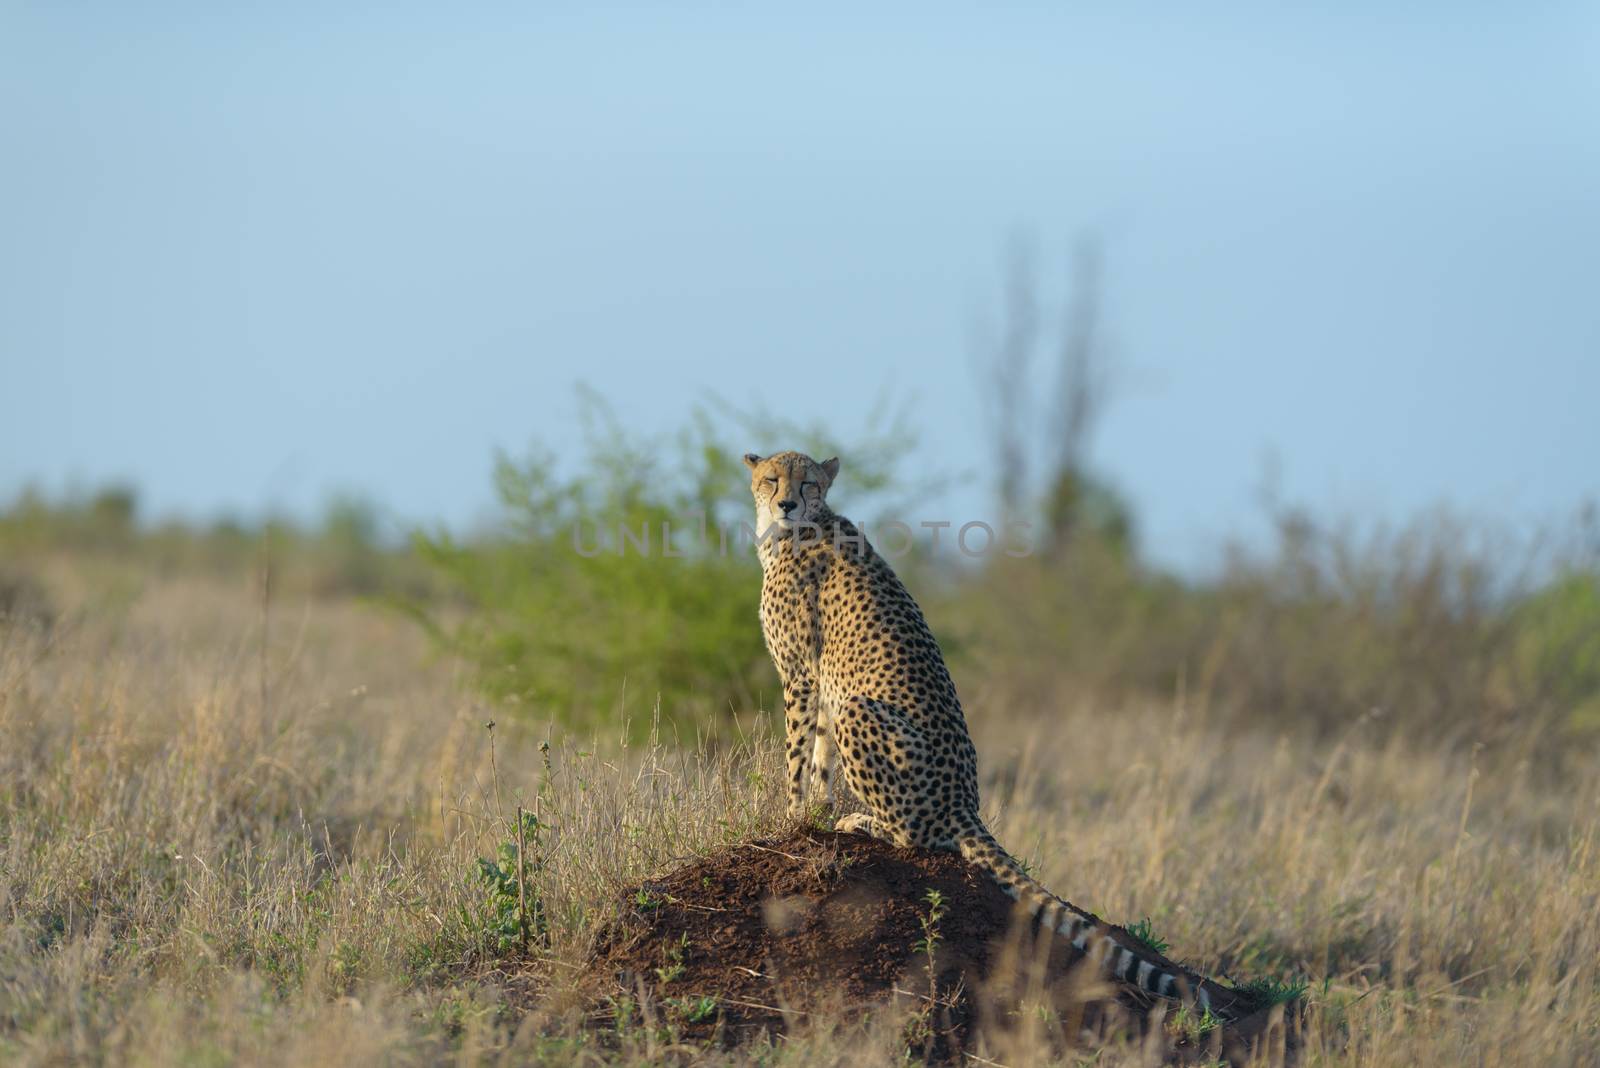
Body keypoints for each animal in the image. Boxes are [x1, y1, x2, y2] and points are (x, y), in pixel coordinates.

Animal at [739, 450, 1235, 1016]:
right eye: (771, 479)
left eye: (808, 483)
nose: (787, 503)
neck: (793, 532)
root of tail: (965, 804)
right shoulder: (820, 683)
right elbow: (818, 756)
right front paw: (815, 813)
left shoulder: (800, 676)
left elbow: (797, 756)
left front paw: (792, 816)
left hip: (861, 712)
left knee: (916, 837)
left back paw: (863, 823)